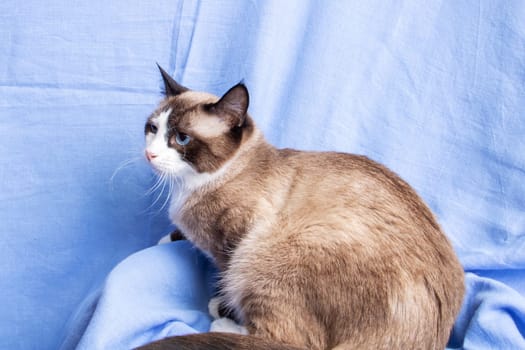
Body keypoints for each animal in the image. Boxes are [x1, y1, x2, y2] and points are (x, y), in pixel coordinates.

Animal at [137, 65, 464, 348]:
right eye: (152, 128)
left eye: (181, 138)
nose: (150, 155)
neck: (190, 187)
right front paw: (167, 238)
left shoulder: (232, 243)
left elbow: (224, 278)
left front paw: (222, 306)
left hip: (264, 255)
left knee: (296, 342)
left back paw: (224, 325)